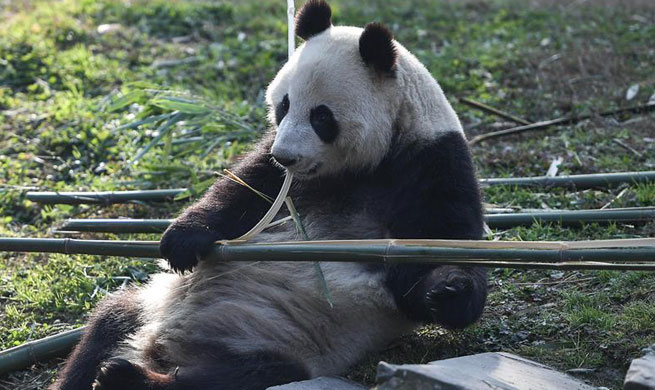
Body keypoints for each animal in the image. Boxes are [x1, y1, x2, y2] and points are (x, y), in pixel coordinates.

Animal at [52, 1, 486, 388]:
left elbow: (435, 253)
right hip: (148, 305)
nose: (286, 155)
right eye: (283, 105)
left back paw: (126, 377)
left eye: (322, 116)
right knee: (106, 325)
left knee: (236, 377)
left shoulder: (432, 166)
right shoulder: (277, 171)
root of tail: (161, 348)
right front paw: (182, 240)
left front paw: (450, 288)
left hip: (282, 346)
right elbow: (241, 194)